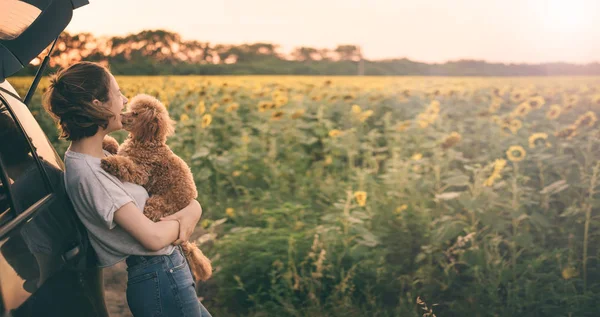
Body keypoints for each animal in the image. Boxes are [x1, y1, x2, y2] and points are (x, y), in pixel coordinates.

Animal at [99, 92, 211, 280]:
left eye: (136, 114)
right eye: (131, 109)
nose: (121, 115)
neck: (147, 141)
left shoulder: (142, 171)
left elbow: (126, 166)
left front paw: (111, 163)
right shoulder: (124, 151)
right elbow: (115, 146)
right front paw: (106, 142)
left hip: (156, 204)